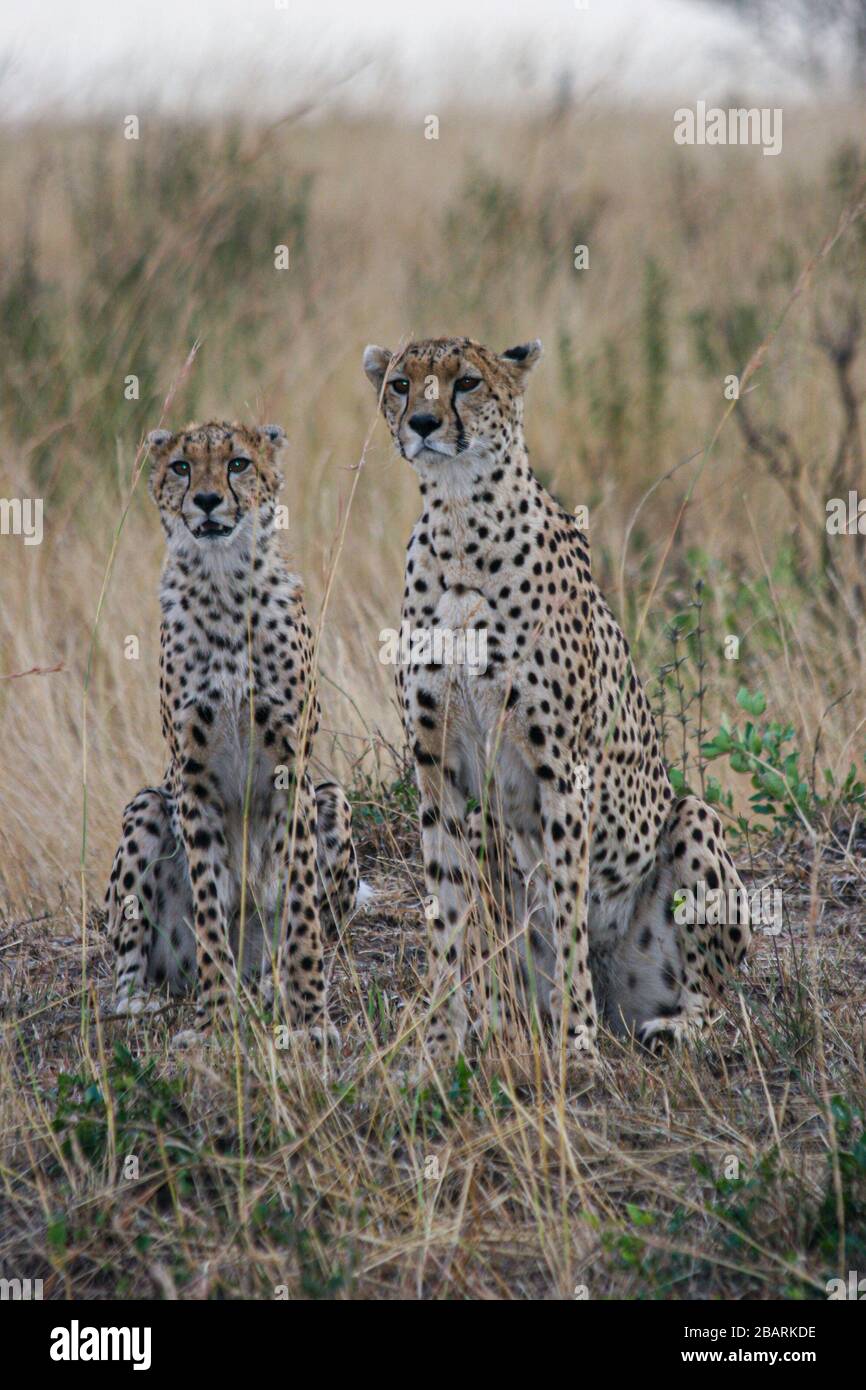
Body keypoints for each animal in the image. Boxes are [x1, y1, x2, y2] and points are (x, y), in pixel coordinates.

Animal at [105, 417, 361, 1045]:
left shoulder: (292, 773)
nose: (205, 499)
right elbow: (208, 908)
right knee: (131, 959)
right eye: (182, 466)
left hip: (333, 799)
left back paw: (269, 985)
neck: (223, 584)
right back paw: (143, 1000)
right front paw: (216, 1021)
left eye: (238, 463)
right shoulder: (192, 782)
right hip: (148, 805)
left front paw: (309, 1015)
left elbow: (299, 906)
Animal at [361, 339, 750, 1073]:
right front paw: (441, 1048)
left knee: (719, 998)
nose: (423, 423)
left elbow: (567, 905)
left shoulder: (562, 767)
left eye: (466, 382)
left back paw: (669, 1026)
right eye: (400, 383)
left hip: (691, 820)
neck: (460, 522)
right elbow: (448, 910)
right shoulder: (436, 767)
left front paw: (577, 1044)